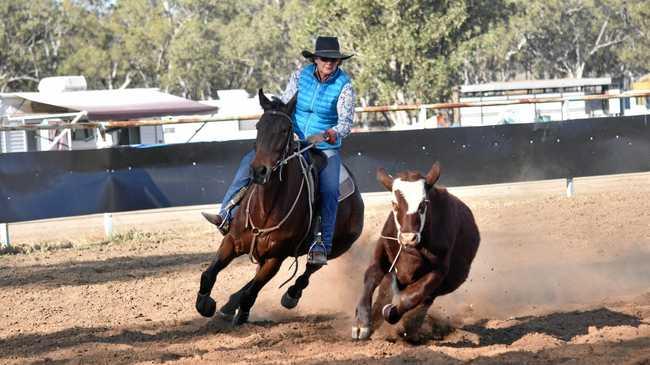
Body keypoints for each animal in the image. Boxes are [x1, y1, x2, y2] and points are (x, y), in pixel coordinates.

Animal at [192, 88, 364, 324]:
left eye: (284, 130)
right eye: (258, 126)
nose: (259, 171)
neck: (265, 209)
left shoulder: (276, 257)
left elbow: (252, 291)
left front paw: (242, 312)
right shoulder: (232, 242)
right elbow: (209, 274)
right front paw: (206, 304)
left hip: (336, 247)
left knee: (309, 270)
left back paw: (290, 295)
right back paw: (229, 304)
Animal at [352, 161, 478, 338]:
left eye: (423, 204)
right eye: (394, 204)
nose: (408, 238)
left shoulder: (439, 270)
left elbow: (413, 296)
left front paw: (392, 313)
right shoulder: (383, 247)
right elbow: (372, 275)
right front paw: (361, 323)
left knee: (424, 300)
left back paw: (410, 328)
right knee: (385, 289)